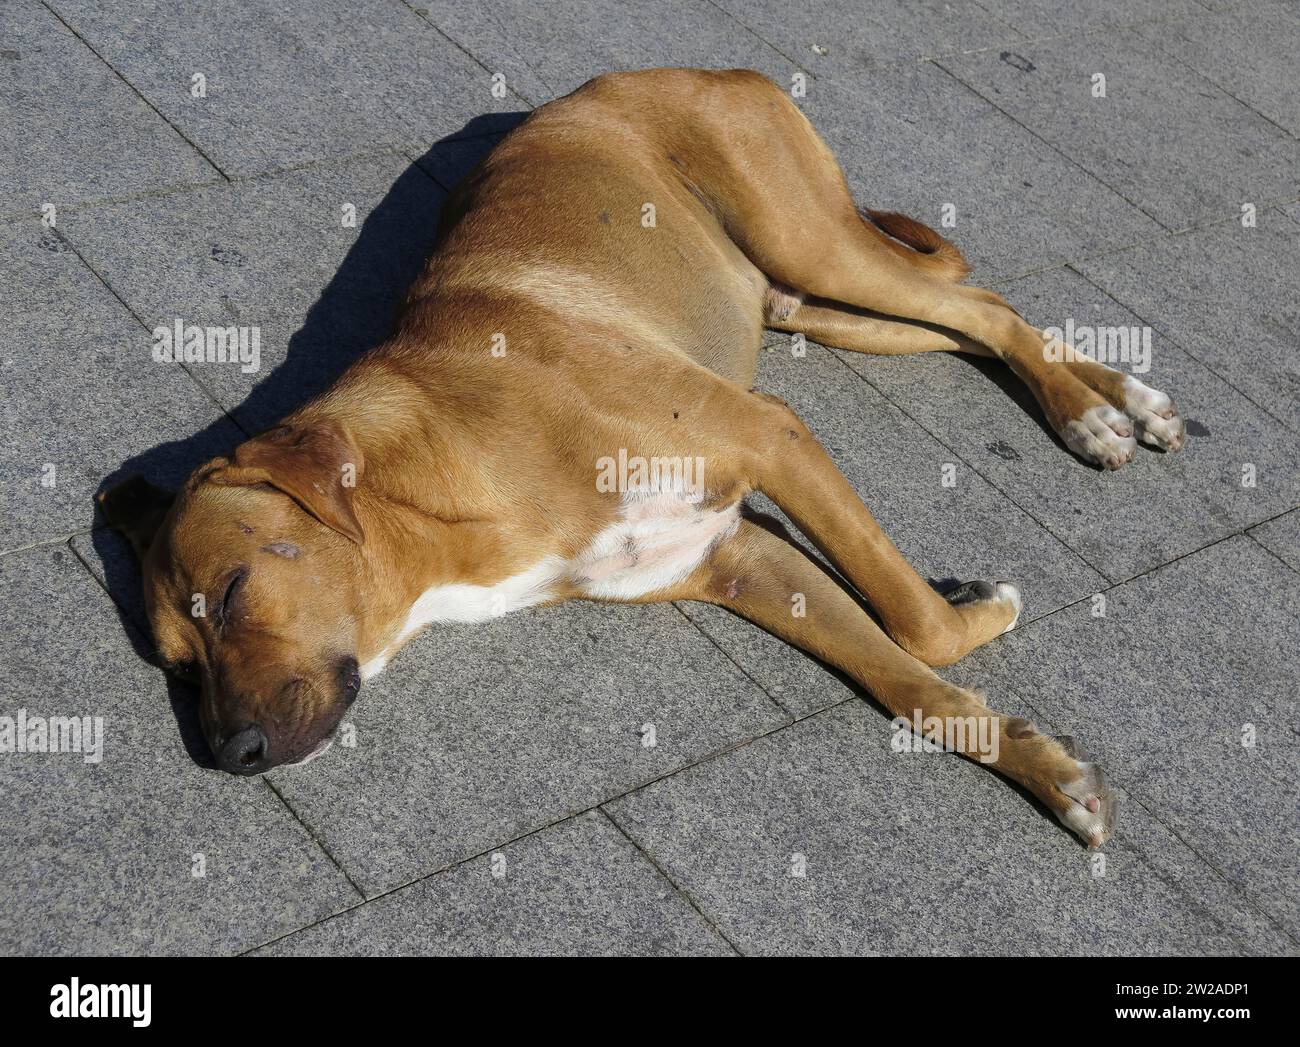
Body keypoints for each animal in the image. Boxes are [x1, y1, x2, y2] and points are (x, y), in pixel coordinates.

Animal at [104, 67, 1190, 848]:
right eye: (179, 669)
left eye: (234, 591)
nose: (232, 753)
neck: (449, 495)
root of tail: (695, 66)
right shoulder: (739, 559)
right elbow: (916, 685)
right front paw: (1045, 769)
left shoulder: (767, 438)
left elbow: (918, 630)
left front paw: (976, 610)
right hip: (808, 303)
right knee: (971, 319)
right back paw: (1117, 400)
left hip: (807, 240)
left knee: (979, 308)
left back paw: (1093, 416)